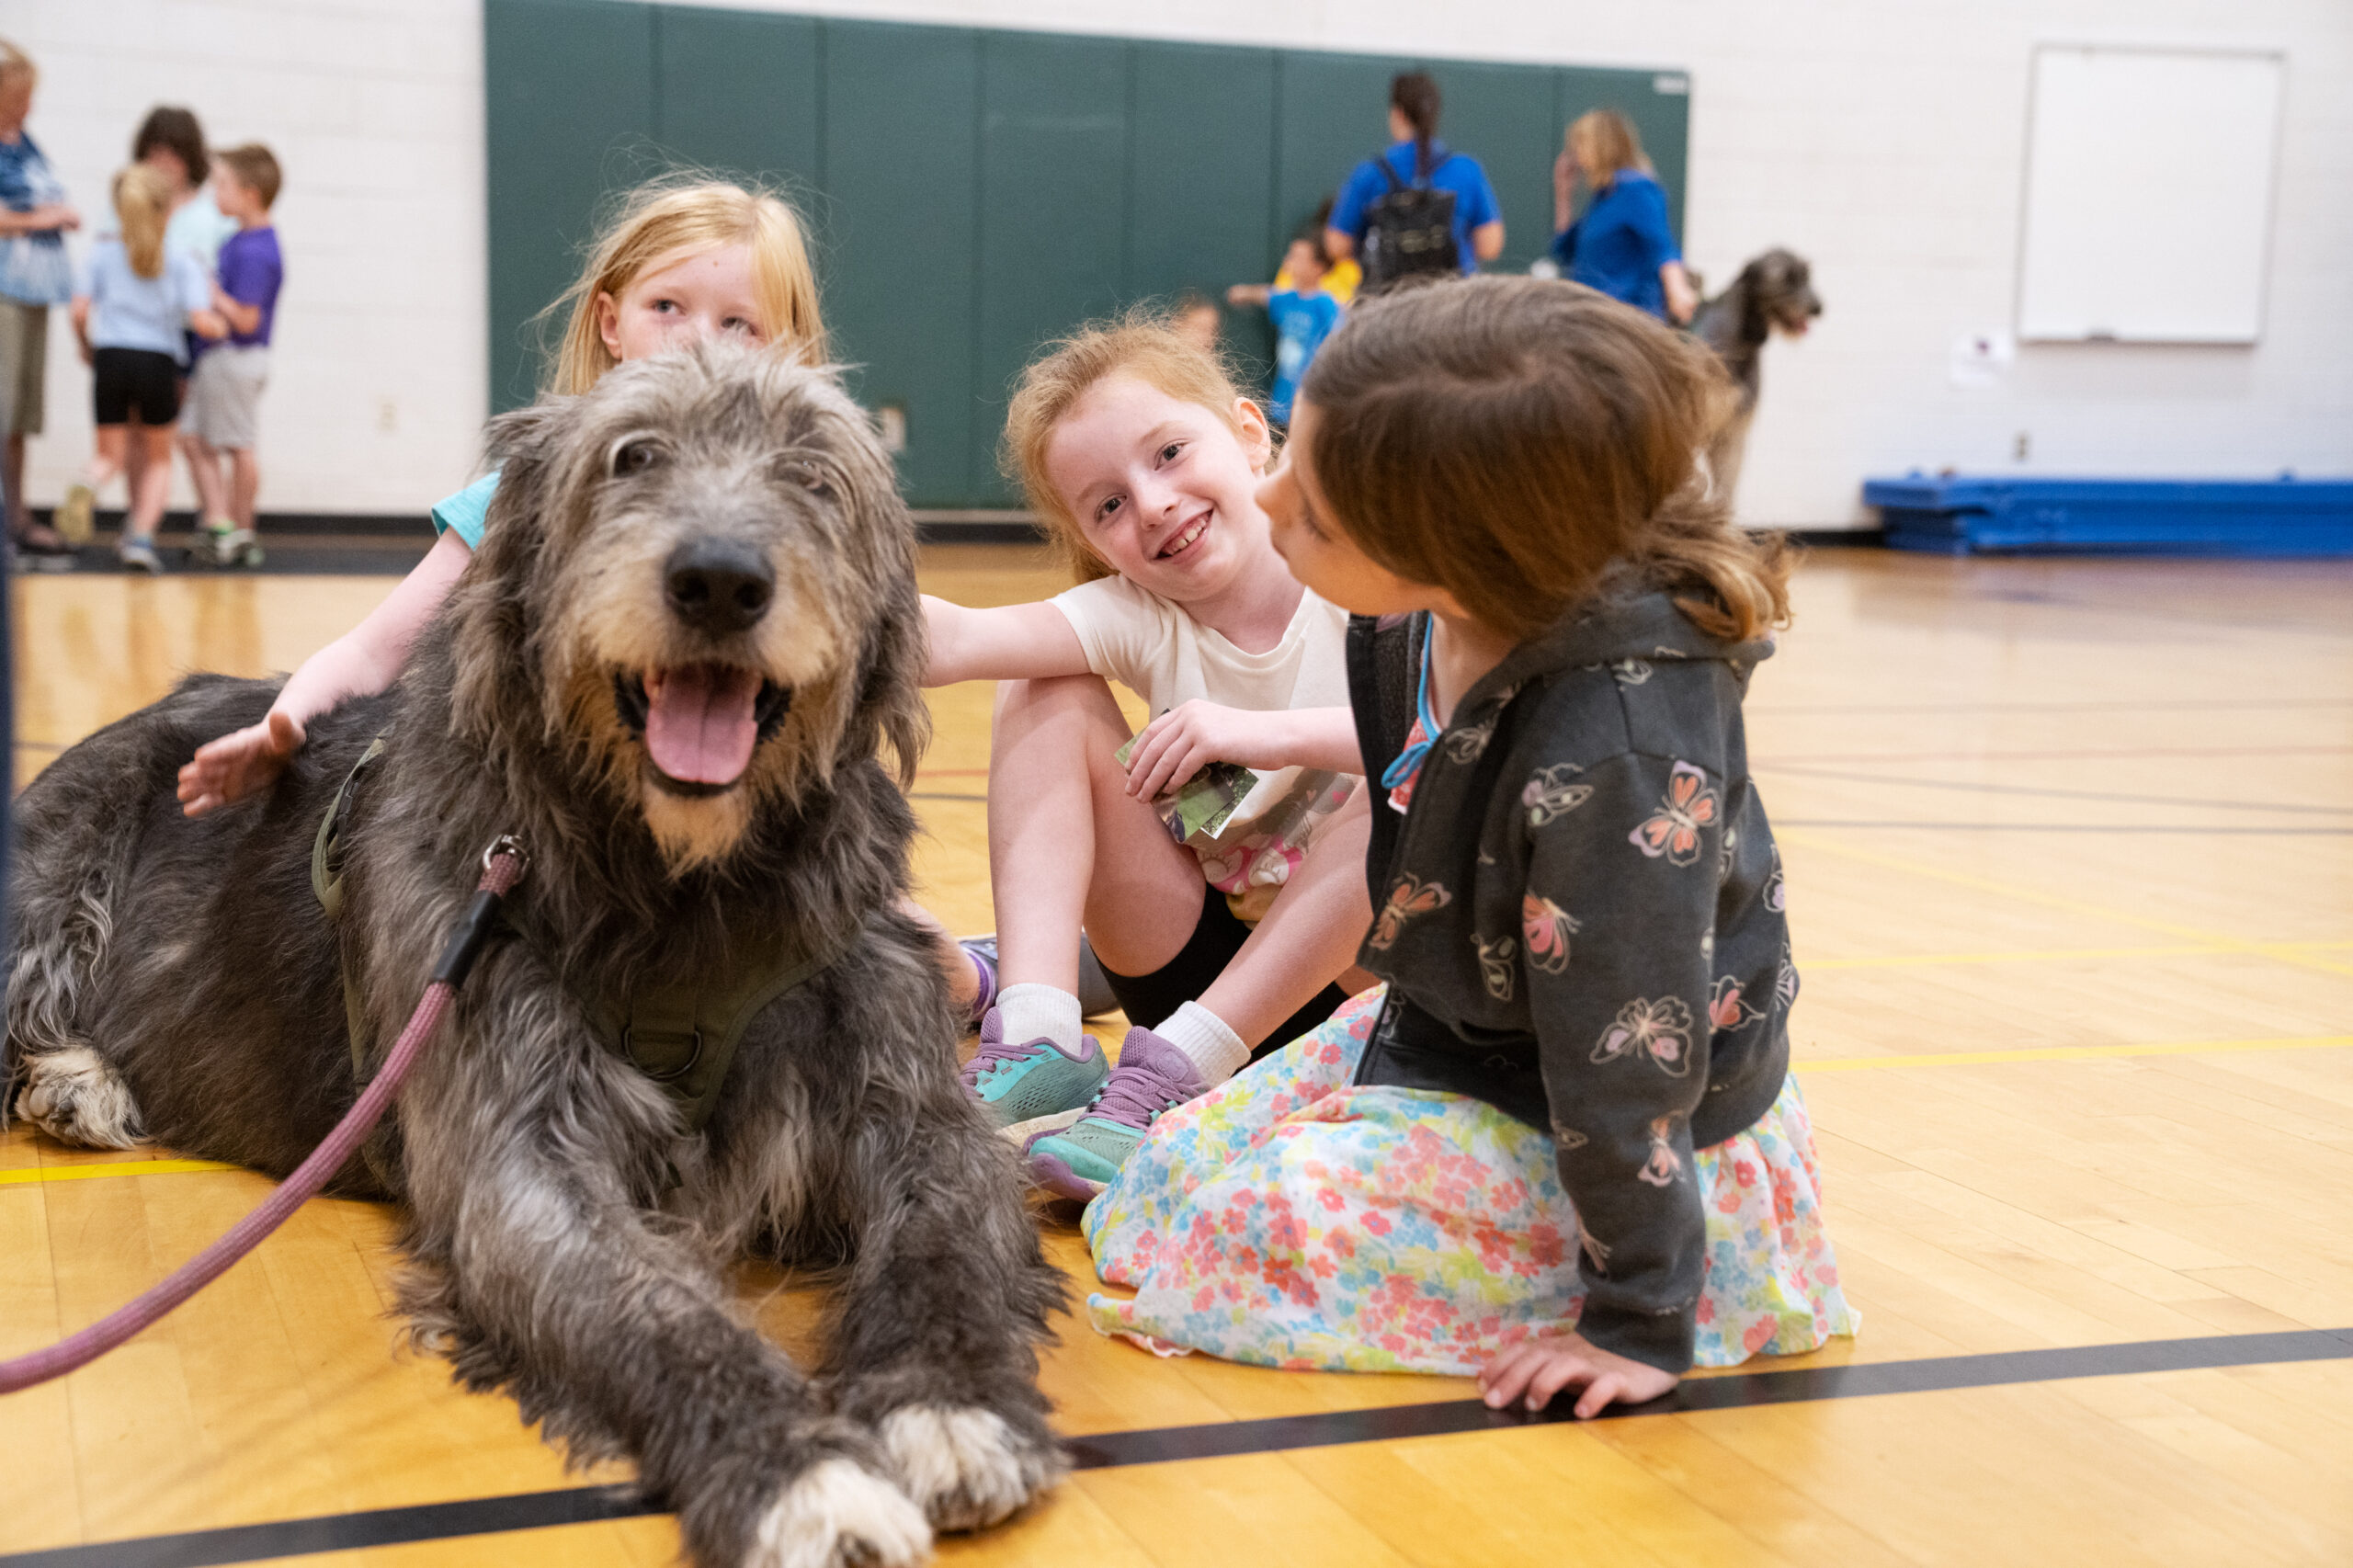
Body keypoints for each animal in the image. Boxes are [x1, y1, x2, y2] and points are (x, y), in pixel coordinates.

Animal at [2, 346, 1068, 1562]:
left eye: (814, 475)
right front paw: (798, 1470)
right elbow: (653, 1307)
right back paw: (73, 1074)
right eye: (632, 454)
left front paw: (947, 1400)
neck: (683, 881)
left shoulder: (911, 1097)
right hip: (46, 891)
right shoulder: (519, 1144)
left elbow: (943, 1229)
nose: (720, 581)